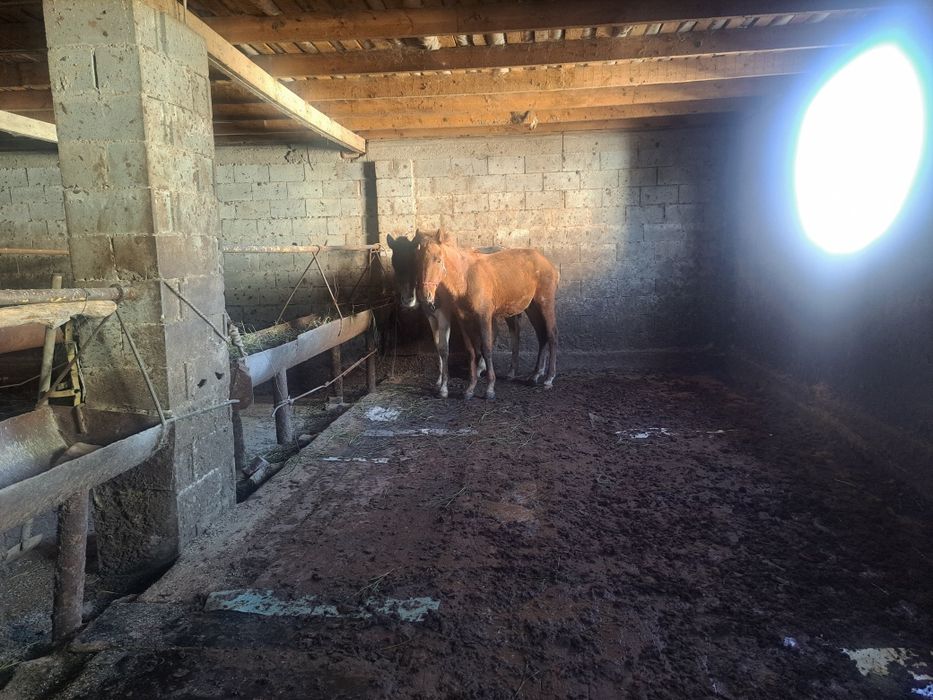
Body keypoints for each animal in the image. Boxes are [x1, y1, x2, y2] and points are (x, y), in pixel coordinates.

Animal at [386, 234, 521, 398]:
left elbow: (445, 349)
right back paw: (481, 368)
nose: (408, 300)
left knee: (514, 332)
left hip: (509, 309)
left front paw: (444, 387)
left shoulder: (444, 315)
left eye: (414, 261)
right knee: (494, 332)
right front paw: (439, 380)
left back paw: (509, 372)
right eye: (394, 263)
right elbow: (438, 346)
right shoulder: (431, 317)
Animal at [414, 229, 559, 400]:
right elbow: (471, 351)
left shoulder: (484, 317)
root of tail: (549, 263)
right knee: (541, 335)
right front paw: (470, 389)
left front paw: (489, 389)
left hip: (545, 304)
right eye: (419, 260)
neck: (466, 279)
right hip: (532, 308)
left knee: (551, 335)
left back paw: (549, 378)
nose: (426, 295)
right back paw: (535, 375)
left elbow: (487, 348)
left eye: (438, 260)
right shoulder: (463, 320)